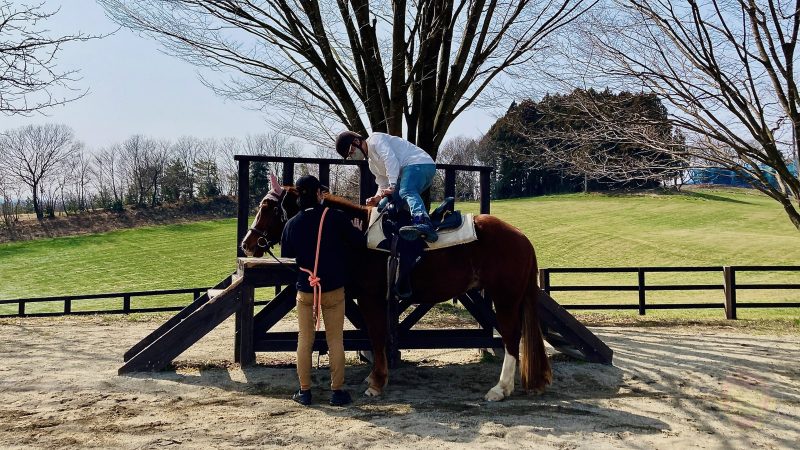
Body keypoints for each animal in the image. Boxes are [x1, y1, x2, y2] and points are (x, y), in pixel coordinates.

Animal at [240, 175, 552, 401]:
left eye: (267, 207)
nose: (247, 244)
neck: (358, 236)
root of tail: (520, 237)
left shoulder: (371, 299)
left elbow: (377, 337)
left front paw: (377, 383)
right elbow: (373, 337)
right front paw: (374, 376)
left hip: (505, 298)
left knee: (511, 338)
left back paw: (500, 389)